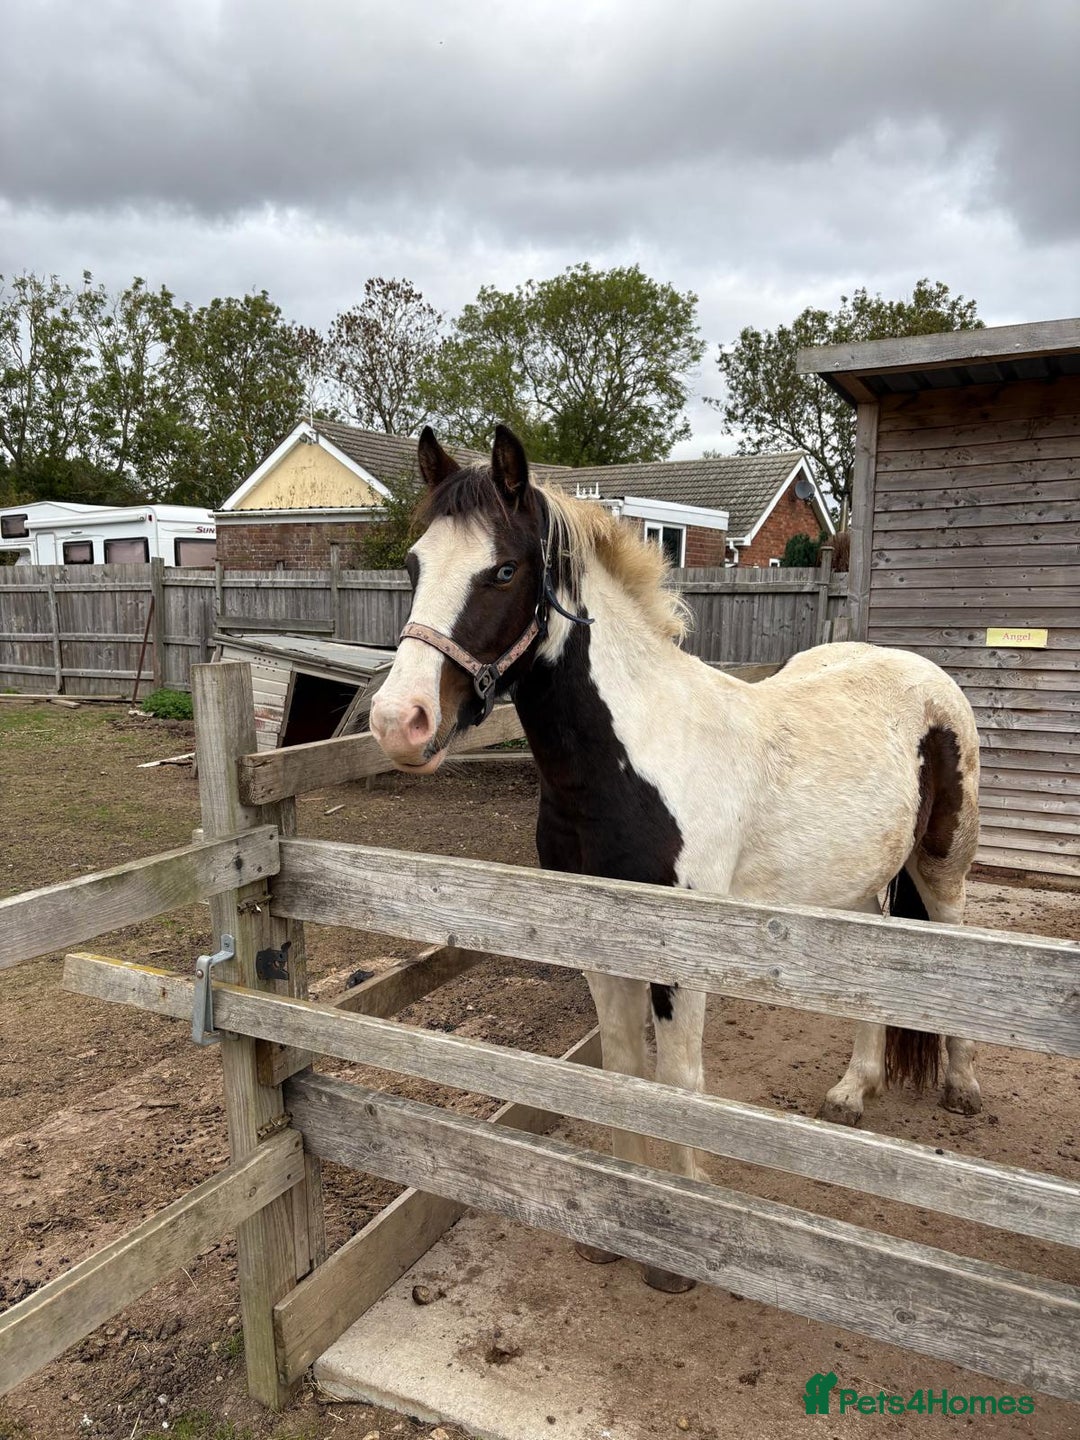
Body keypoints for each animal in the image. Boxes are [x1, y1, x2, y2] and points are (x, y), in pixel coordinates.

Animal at [369, 424, 982, 1293]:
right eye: (415, 565)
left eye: (504, 569)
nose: (400, 721)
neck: (631, 761)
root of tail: (922, 675)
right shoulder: (598, 946)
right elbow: (624, 1072)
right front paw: (618, 1224)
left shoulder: (683, 957)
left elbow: (680, 1083)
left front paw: (680, 1244)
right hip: (861, 892)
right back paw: (852, 1091)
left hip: (943, 871)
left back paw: (961, 1088)